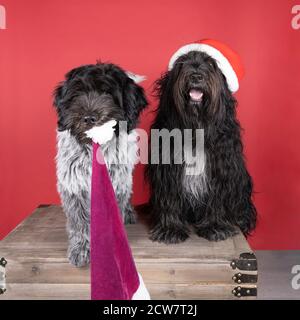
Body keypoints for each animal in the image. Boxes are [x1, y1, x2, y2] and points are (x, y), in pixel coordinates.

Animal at [146, 42, 256, 242]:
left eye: (211, 64)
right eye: (182, 63)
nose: (196, 76)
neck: (195, 128)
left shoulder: (221, 167)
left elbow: (217, 198)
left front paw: (215, 226)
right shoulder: (168, 168)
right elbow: (170, 197)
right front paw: (171, 228)